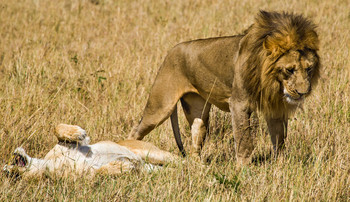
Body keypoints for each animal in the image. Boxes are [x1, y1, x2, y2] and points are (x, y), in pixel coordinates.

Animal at [3, 123, 176, 178]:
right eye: (12, 176)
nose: (6, 169)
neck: (47, 164)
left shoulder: (71, 146)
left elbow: (57, 128)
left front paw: (78, 132)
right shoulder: (87, 176)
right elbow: (101, 172)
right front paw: (123, 166)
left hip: (153, 153)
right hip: (154, 167)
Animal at [128, 10, 320, 164]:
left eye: (309, 68)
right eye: (290, 69)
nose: (303, 92)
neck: (271, 81)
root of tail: (171, 50)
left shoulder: (275, 107)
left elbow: (279, 139)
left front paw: (281, 165)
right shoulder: (239, 103)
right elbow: (244, 141)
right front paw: (244, 169)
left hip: (199, 113)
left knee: (195, 141)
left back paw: (198, 167)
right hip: (161, 106)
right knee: (135, 130)